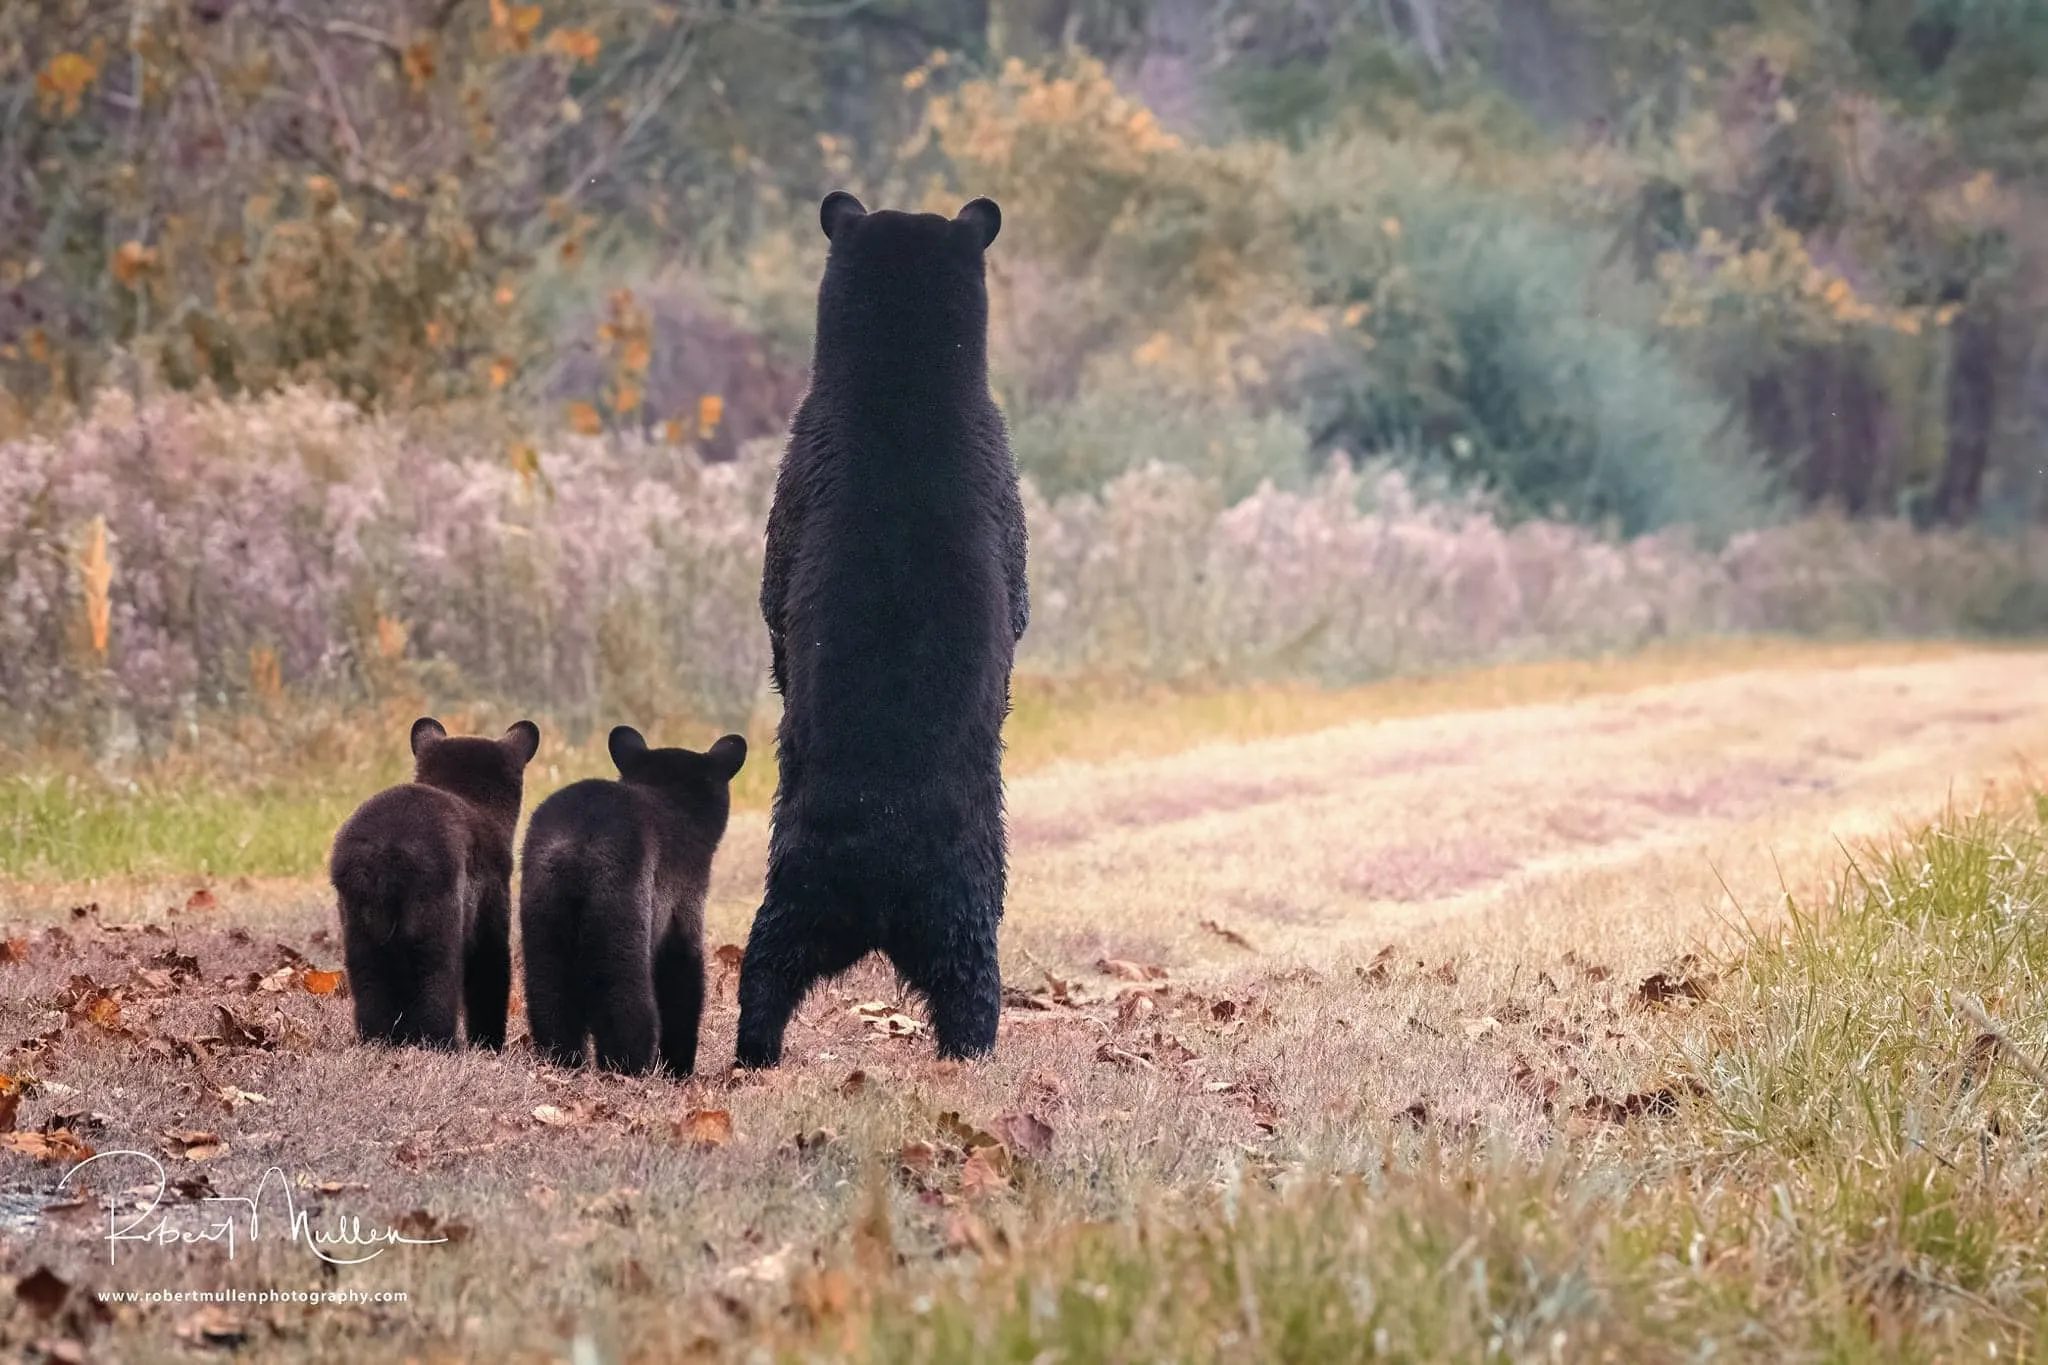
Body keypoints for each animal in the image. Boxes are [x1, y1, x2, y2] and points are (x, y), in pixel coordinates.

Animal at [329, 717, 540, 1049]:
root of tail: (387, 852)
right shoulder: (492, 903)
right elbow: (491, 970)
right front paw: (489, 1043)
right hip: (436, 916)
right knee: (437, 982)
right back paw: (443, 1043)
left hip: (358, 923)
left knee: (369, 981)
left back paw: (377, 1039)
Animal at [518, 728, 747, 1075]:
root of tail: (577, 844)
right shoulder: (683, 897)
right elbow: (683, 975)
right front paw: (677, 1068)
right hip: (621, 907)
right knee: (624, 998)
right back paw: (628, 1067)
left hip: (542, 907)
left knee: (549, 991)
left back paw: (563, 1060)